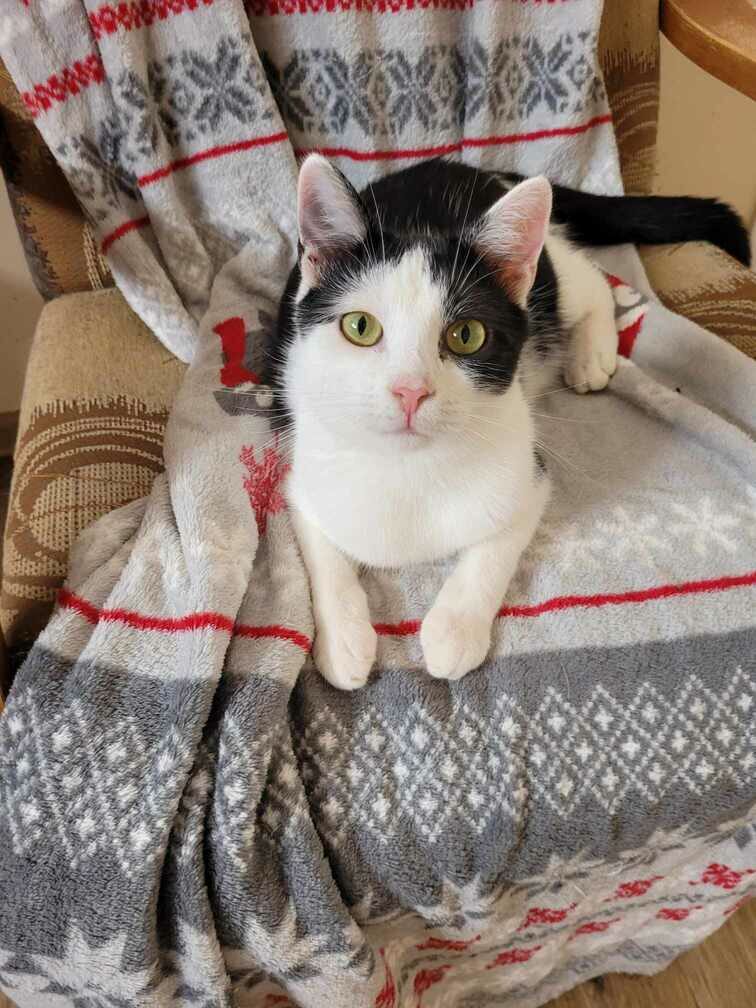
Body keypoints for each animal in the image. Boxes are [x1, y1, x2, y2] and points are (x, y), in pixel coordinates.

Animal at [266, 155, 749, 690]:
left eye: (466, 335)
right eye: (360, 327)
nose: (411, 390)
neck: (407, 469)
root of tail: (468, 167)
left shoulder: (528, 475)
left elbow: (495, 547)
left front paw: (454, 631)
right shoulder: (301, 469)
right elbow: (322, 552)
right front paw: (344, 640)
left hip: (548, 282)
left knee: (591, 279)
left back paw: (592, 354)